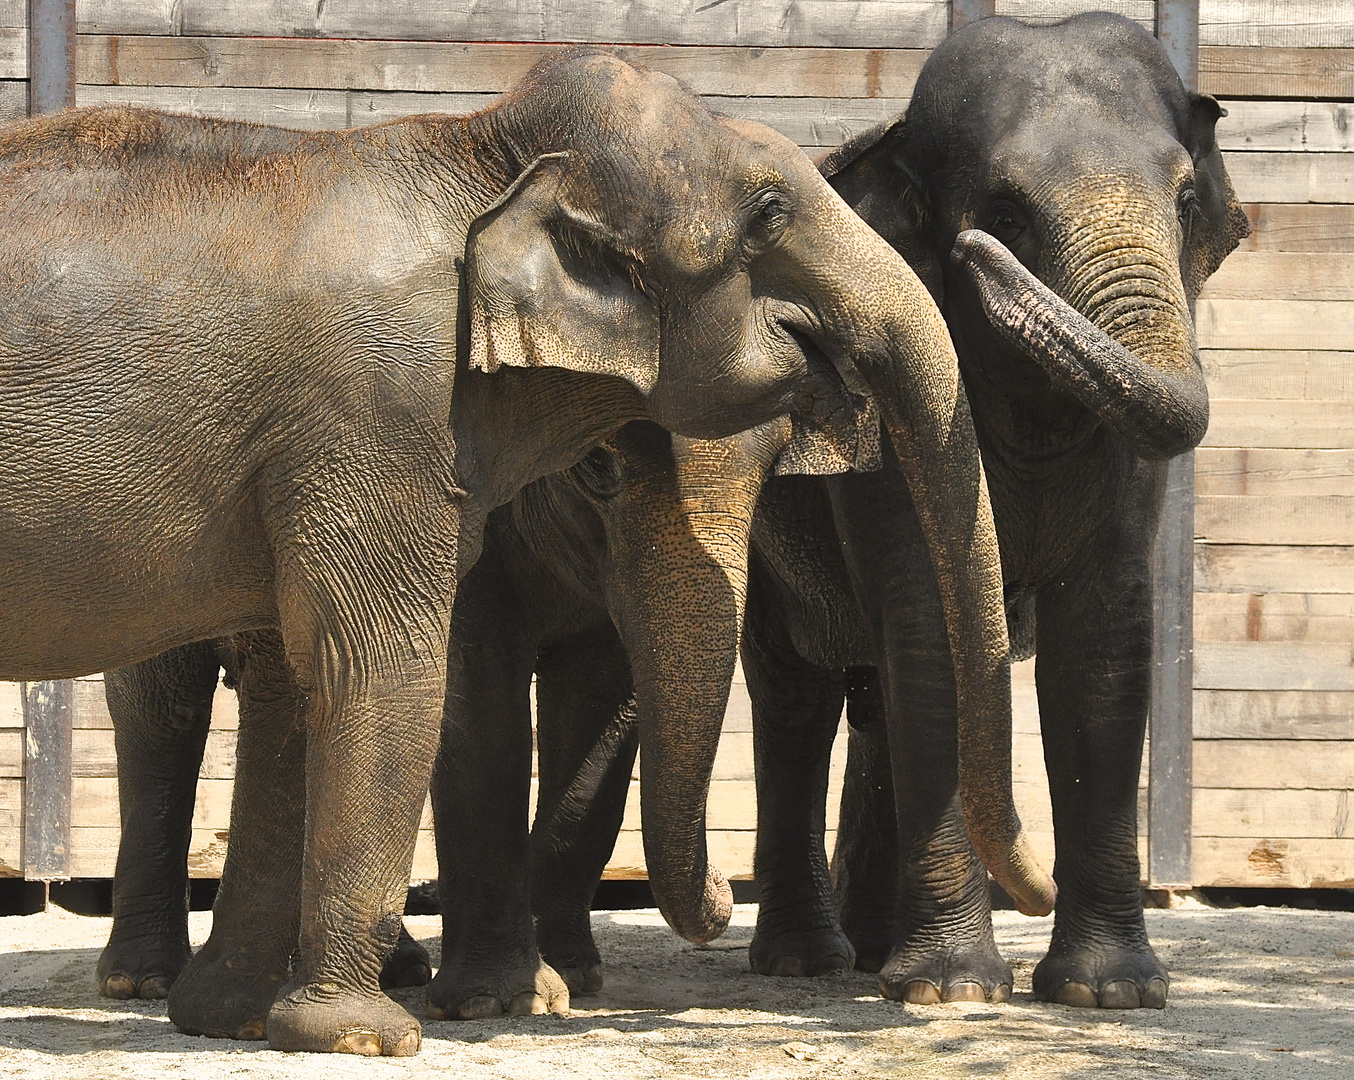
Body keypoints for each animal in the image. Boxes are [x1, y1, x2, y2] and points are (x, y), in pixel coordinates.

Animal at [13, 46, 1045, 1055]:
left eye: (772, 475)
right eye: (766, 215)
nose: (720, 896)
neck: (483, 148)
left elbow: (308, 679)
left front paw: (243, 1019)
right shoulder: (384, 412)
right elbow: (400, 671)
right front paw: (385, 1030)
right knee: (159, 706)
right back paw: (143, 981)